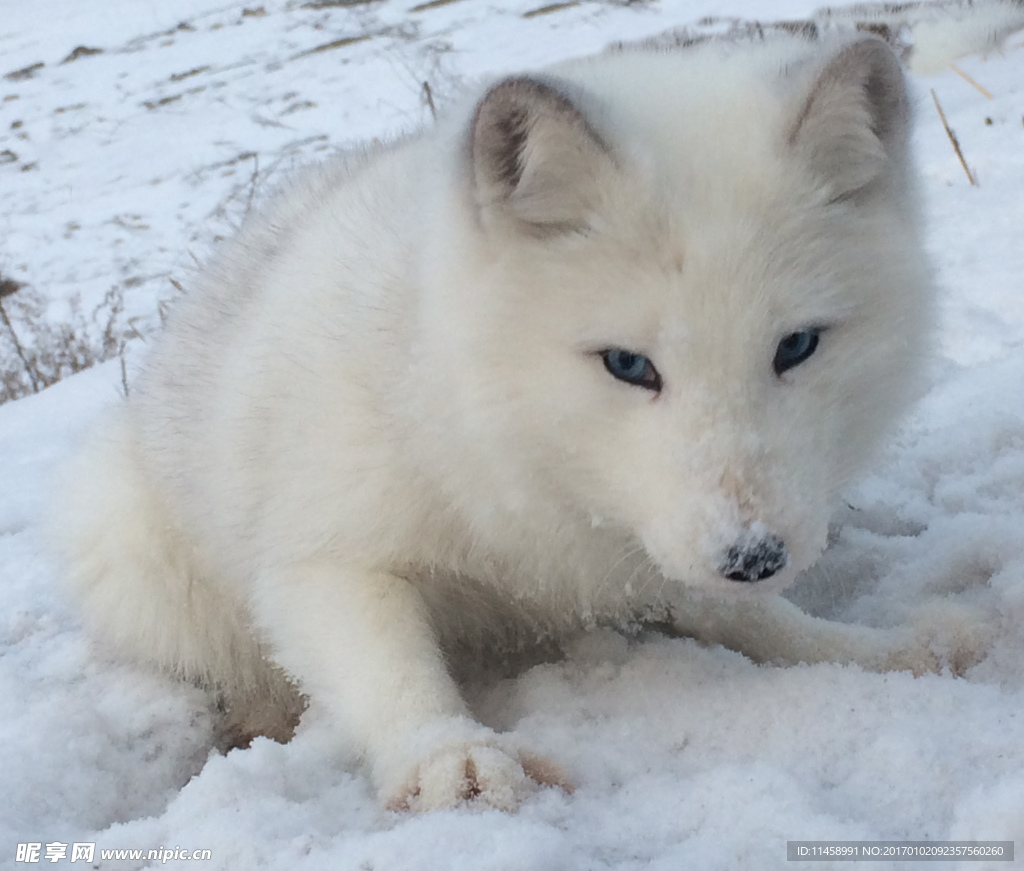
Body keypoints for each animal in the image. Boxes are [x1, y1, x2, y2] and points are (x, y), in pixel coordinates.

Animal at [56, 34, 937, 810]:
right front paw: (449, 756)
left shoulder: (654, 547)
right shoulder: (323, 551)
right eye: (628, 364)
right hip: (124, 538)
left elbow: (749, 618)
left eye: (797, 345)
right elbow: (387, 668)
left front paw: (868, 651)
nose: (754, 555)